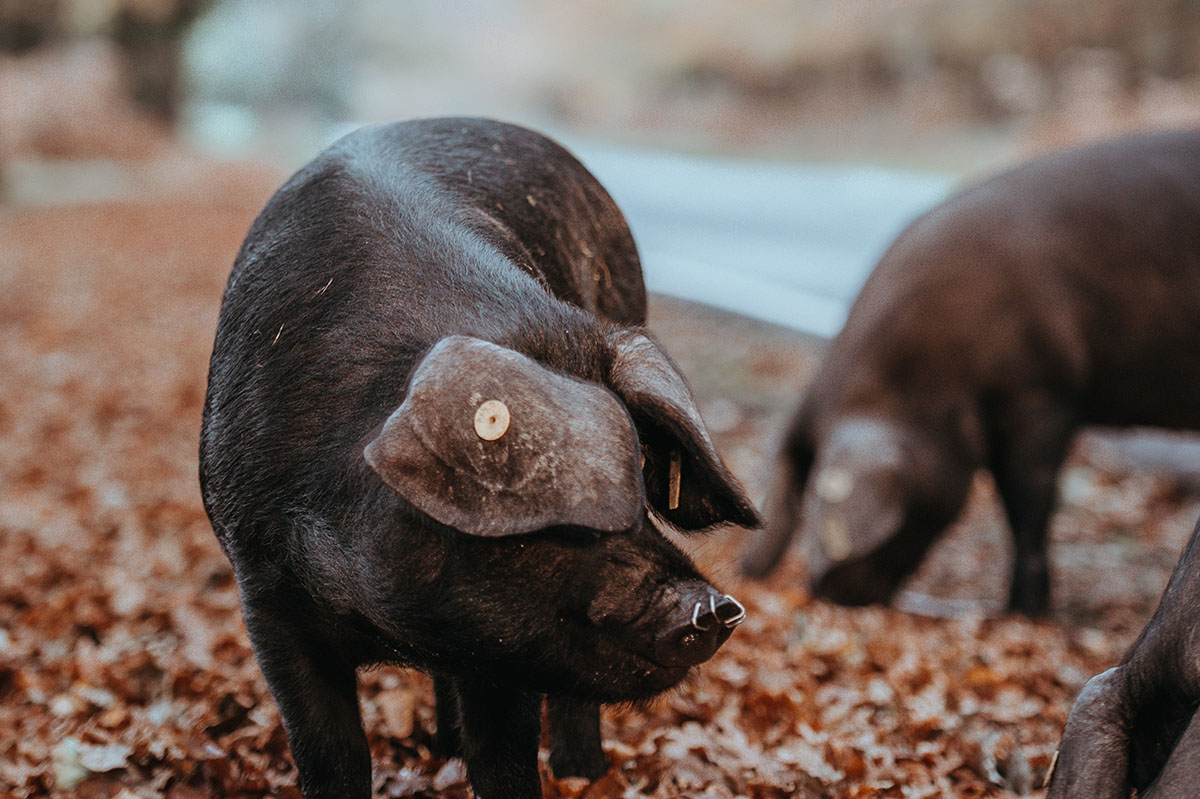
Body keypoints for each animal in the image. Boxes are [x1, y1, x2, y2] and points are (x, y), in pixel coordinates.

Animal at [198, 117, 761, 799]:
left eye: (641, 493)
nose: (716, 608)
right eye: (561, 514)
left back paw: (579, 775)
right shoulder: (264, 593)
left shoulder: (507, 648)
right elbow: (329, 754)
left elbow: (505, 757)